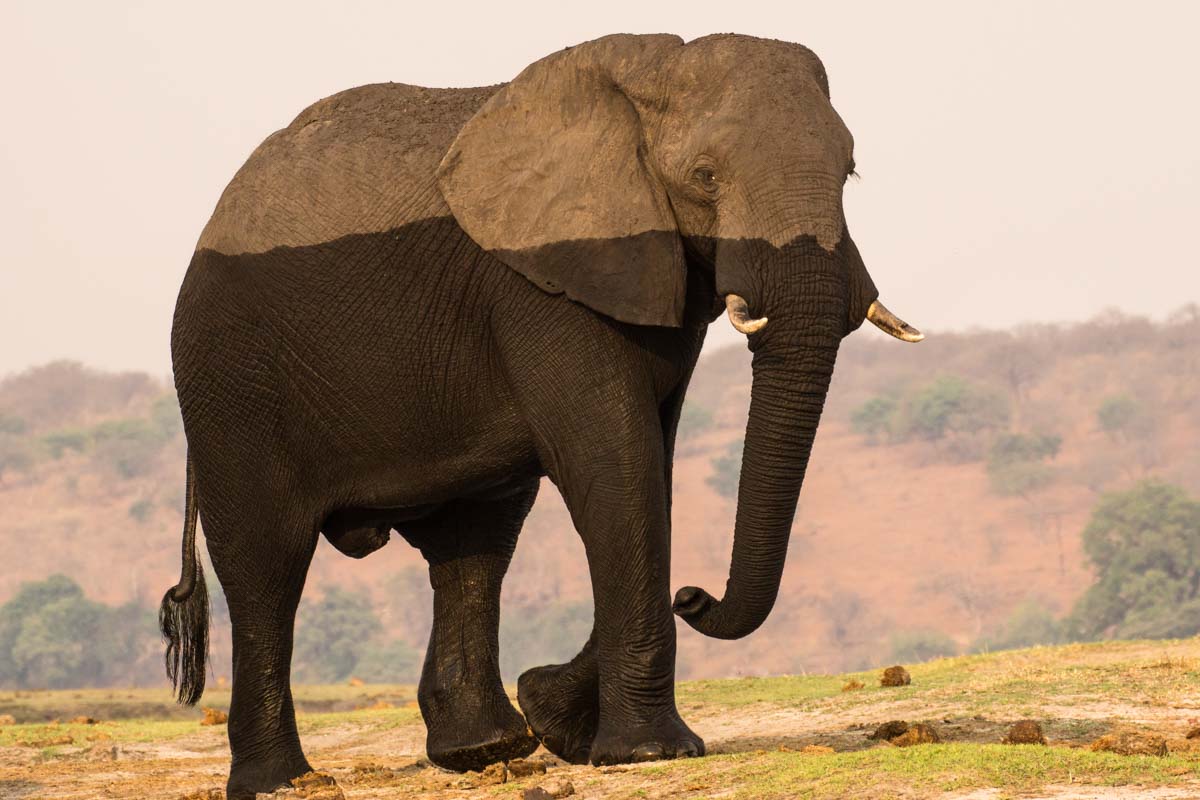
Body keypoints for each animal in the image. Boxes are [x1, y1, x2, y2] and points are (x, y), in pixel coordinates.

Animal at [159, 32, 921, 800]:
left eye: (850, 174)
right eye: (704, 176)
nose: (693, 595)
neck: (648, 72)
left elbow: (652, 467)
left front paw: (555, 715)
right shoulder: (542, 284)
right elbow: (615, 462)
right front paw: (651, 753)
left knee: (475, 543)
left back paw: (487, 747)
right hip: (229, 378)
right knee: (265, 563)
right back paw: (283, 783)